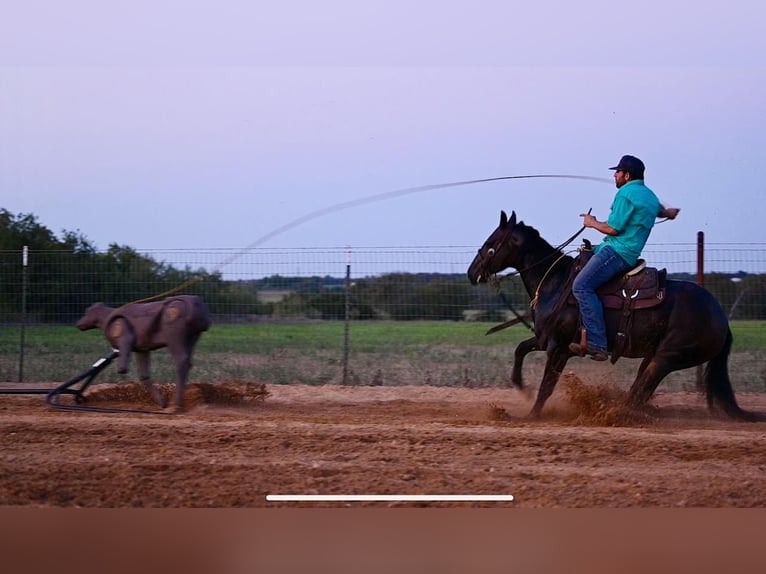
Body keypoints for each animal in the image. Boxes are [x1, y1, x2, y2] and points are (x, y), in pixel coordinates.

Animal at [468, 212, 760, 424]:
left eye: (491, 243)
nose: (472, 273)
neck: (556, 282)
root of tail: (721, 318)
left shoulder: (559, 347)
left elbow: (547, 385)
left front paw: (531, 415)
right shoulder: (544, 339)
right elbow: (520, 350)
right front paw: (521, 387)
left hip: (668, 358)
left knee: (641, 390)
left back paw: (614, 413)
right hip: (654, 356)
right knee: (641, 390)